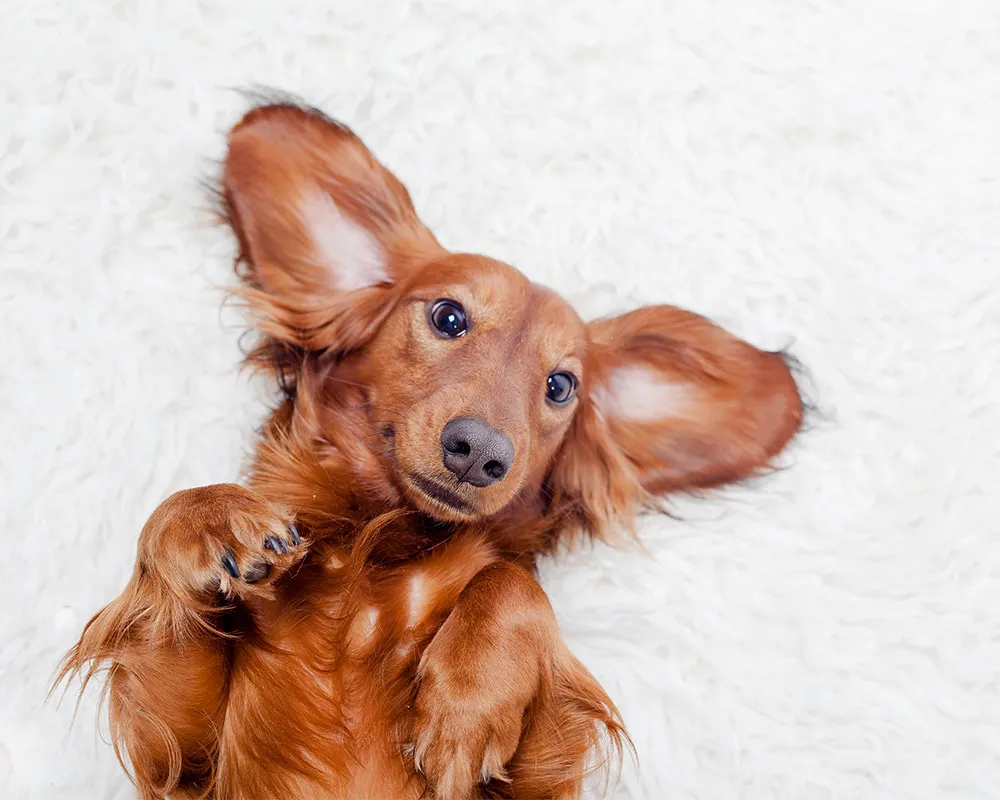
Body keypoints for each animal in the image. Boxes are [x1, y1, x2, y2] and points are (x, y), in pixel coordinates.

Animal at [56, 100, 804, 800]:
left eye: (561, 385)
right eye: (448, 316)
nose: (479, 452)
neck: (380, 551)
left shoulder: (539, 774)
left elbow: (514, 586)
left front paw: (465, 708)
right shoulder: (182, 761)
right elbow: (165, 522)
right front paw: (211, 519)